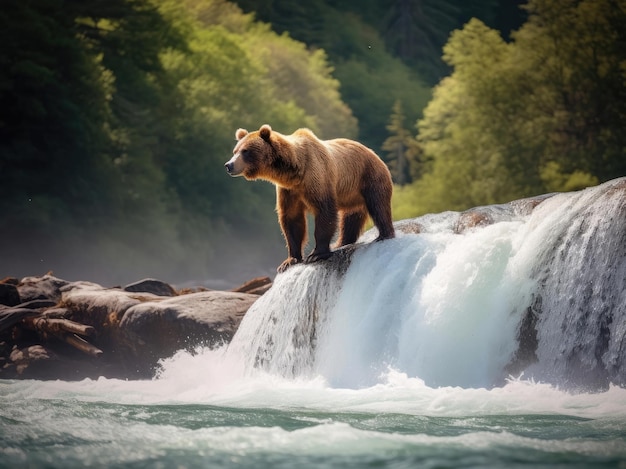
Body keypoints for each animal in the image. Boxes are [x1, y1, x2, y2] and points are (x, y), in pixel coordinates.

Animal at [223, 125, 390, 270]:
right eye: (235, 150)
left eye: (245, 151)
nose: (228, 165)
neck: (294, 172)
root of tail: (373, 152)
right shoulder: (289, 191)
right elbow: (291, 219)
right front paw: (290, 260)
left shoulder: (316, 177)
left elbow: (325, 212)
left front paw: (316, 254)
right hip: (352, 195)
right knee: (351, 217)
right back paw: (341, 243)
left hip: (369, 177)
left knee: (378, 206)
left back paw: (383, 235)